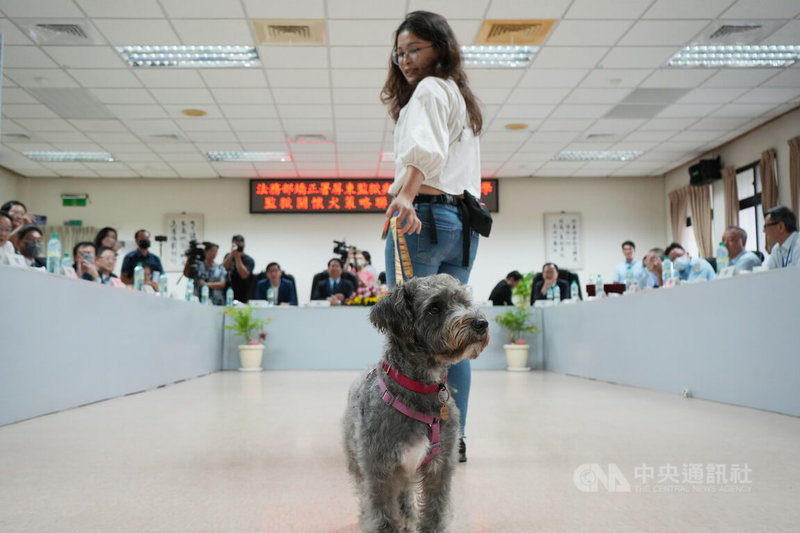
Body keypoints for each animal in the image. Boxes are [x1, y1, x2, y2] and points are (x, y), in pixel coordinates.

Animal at [342, 274, 488, 532]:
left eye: (464, 302)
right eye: (434, 308)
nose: (481, 323)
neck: (421, 390)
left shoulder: (440, 468)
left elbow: (434, 512)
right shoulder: (380, 471)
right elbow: (382, 517)